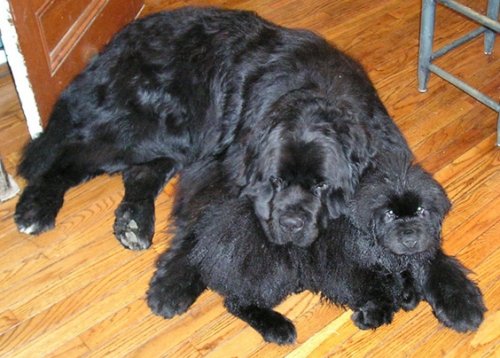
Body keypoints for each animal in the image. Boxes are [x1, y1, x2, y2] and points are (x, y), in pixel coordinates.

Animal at [14, 7, 406, 249]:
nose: (292, 223)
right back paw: (36, 208)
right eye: (275, 181)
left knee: (139, 173)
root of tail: (111, 48)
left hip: (178, 137)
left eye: (322, 185)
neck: (318, 92)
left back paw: (134, 222)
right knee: (70, 153)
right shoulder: (223, 163)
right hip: (148, 128)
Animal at [147, 157, 484, 344]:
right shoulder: (346, 267)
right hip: (274, 266)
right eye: (389, 215)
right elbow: (376, 289)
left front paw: (413, 292)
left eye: (421, 212)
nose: (411, 236)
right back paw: (278, 328)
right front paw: (374, 314)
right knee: (237, 300)